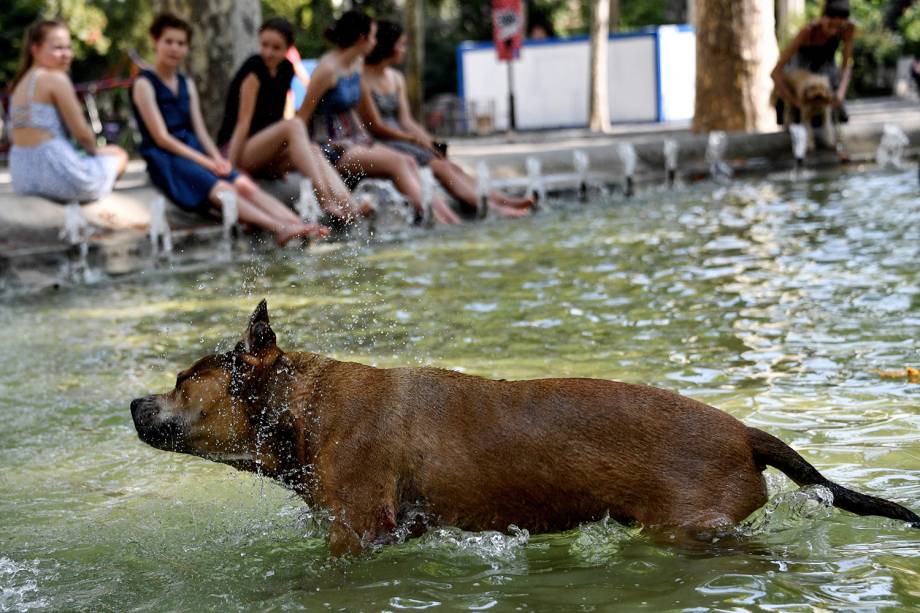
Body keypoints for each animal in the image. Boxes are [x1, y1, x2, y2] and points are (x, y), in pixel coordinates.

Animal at [131, 298, 920, 552]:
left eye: (182, 380)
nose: (135, 405)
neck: (308, 404)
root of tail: (745, 431)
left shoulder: (355, 536)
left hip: (688, 527)